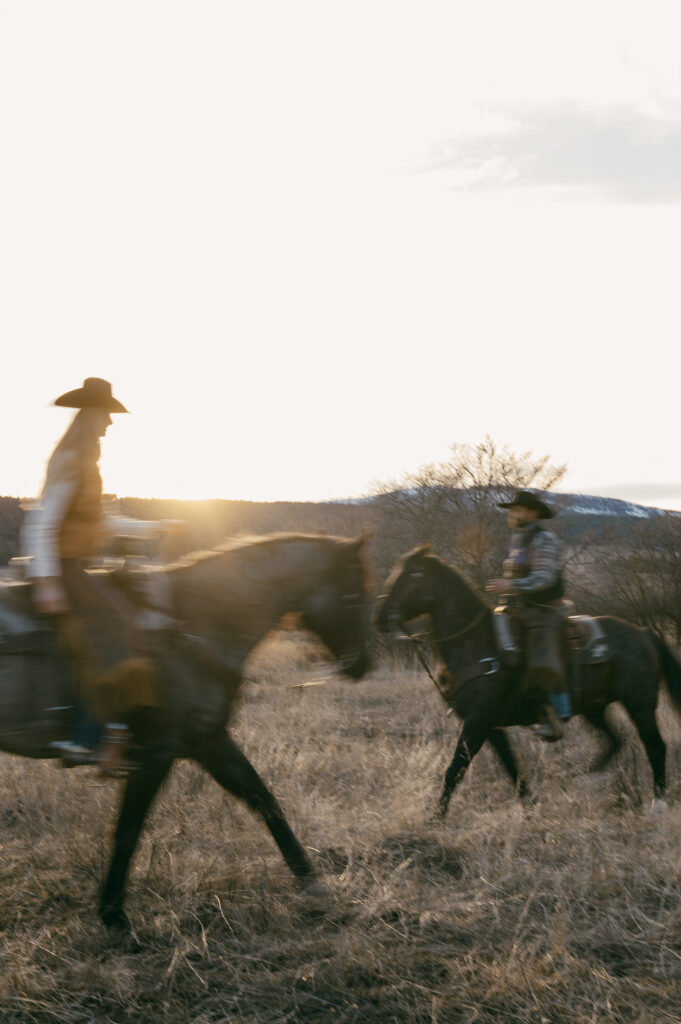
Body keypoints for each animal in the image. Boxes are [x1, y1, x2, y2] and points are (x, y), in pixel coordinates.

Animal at [0, 532, 372, 933]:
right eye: (355, 595)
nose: (364, 664)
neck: (192, 622)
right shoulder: (155, 752)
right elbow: (128, 830)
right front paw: (113, 913)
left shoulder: (208, 741)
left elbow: (264, 800)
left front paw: (312, 880)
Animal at [374, 544, 679, 815]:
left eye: (413, 575)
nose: (379, 617)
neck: (476, 643)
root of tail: (643, 633)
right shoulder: (489, 726)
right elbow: (512, 768)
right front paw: (531, 808)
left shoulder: (477, 722)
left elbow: (455, 769)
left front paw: (435, 819)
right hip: (595, 708)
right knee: (615, 741)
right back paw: (590, 780)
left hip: (640, 705)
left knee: (655, 746)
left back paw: (658, 804)